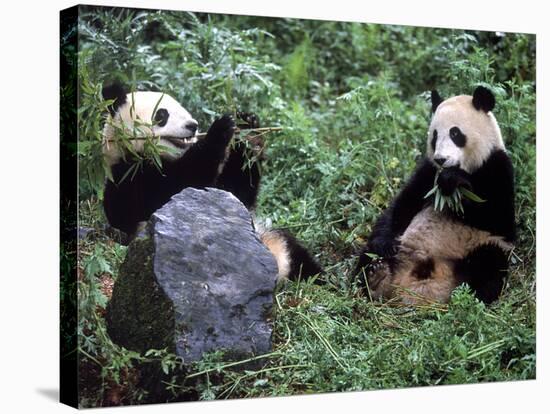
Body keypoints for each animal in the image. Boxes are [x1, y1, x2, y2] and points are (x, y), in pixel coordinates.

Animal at [102, 81, 324, 282]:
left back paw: (320, 278)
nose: (193, 126)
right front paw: (219, 129)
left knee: (296, 254)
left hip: (270, 238)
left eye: (183, 110)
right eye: (162, 115)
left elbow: (236, 195)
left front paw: (248, 131)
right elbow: (179, 189)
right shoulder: (131, 178)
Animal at [358, 85, 516, 304]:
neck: (467, 166)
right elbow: (402, 205)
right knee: (367, 255)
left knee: (489, 263)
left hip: (479, 246)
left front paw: (453, 181)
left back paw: (466, 297)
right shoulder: (427, 172)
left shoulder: (497, 168)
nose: (441, 159)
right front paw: (385, 245)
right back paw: (376, 277)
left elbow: (498, 218)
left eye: (455, 133)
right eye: (434, 136)